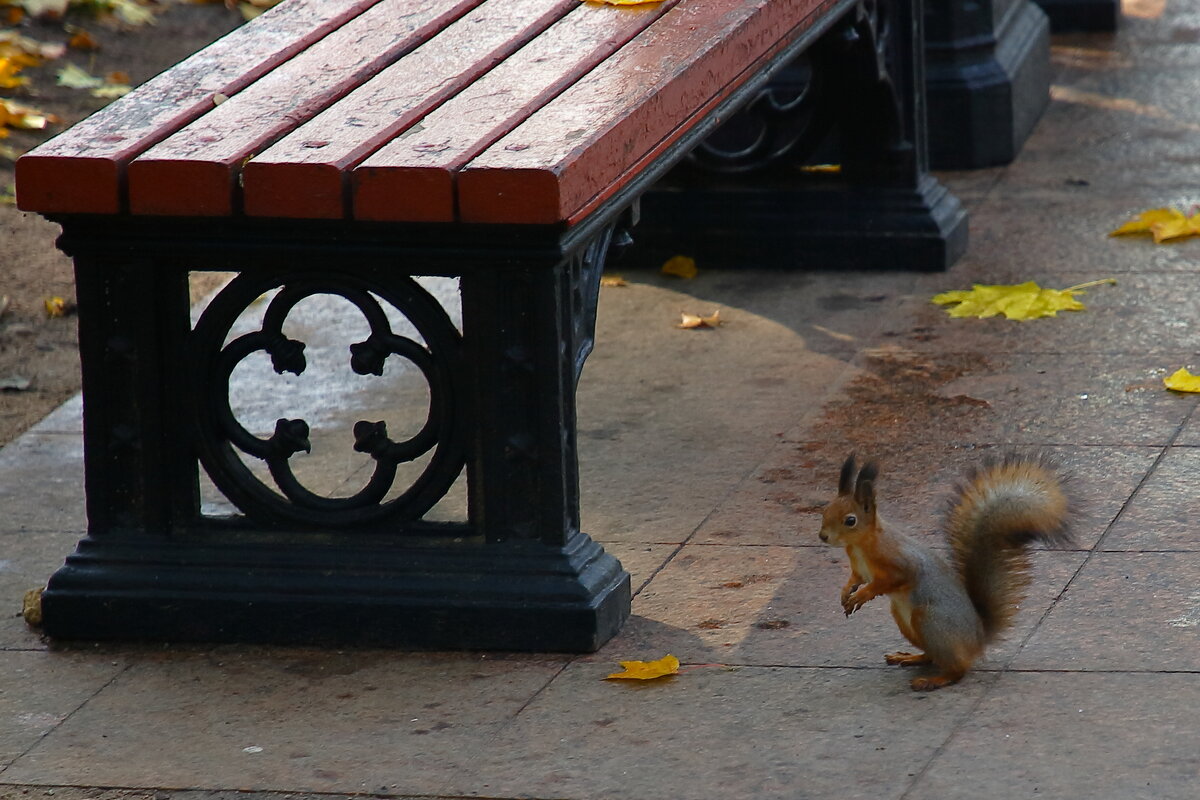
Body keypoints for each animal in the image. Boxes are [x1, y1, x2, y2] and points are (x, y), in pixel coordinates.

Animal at [820, 453, 1075, 690]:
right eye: (825, 511)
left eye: (850, 520)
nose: (822, 536)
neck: (860, 545)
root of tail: (977, 640)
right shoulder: (859, 569)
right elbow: (856, 578)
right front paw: (846, 592)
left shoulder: (901, 563)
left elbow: (888, 581)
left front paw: (862, 595)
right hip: (905, 620)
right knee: (933, 656)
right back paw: (912, 657)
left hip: (930, 620)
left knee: (958, 669)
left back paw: (934, 680)